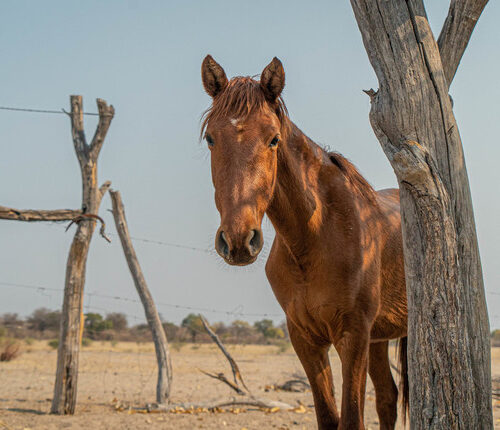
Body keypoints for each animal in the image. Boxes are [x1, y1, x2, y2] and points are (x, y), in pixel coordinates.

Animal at [201, 54, 408, 430]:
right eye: (211, 138)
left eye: (273, 139)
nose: (238, 239)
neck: (314, 238)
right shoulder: (306, 339)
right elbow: (328, 417)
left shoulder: (352, 336)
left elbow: (351, 419)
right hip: (379, 339)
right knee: (387, 397)